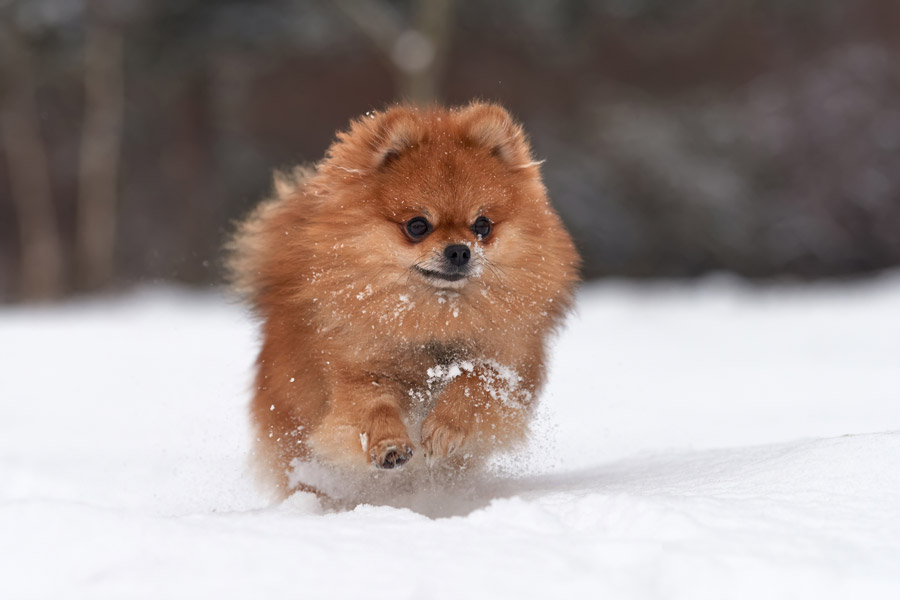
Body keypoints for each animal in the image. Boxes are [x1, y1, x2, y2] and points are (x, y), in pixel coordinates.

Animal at [229, 103, 580, 502]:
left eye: (482, 226)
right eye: (417, 225)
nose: (459, 250)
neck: (435, 315)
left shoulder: (507, 366)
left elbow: (473, 382)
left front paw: (444, 427)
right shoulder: (359, 371)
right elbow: (373, 407)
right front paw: (389, 445)